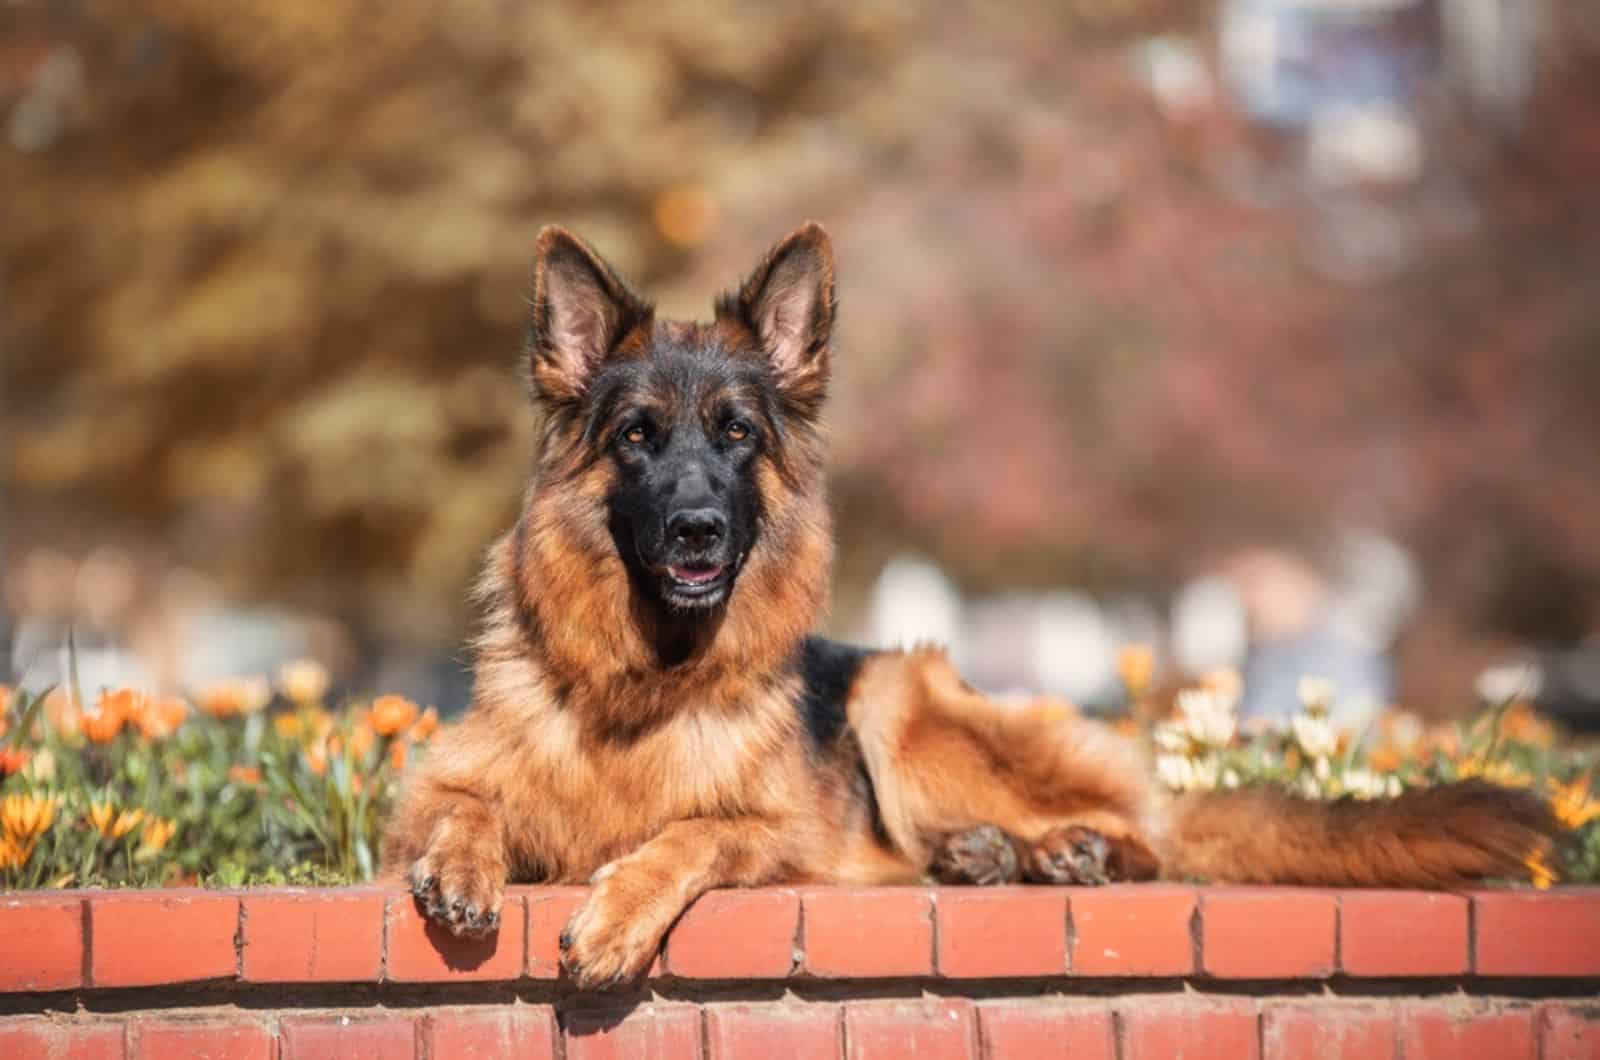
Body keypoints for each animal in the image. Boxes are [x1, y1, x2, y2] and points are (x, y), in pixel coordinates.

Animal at [380, 225, 1555, 999]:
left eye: (736, 436)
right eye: (636, 436)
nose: (698, 532)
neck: (645, 681)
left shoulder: (780, 831)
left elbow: (692, 835)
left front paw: (621, 912)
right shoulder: (439, 783)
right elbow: (460, 802)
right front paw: (461, 863)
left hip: (902, 703)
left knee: (1152, 834)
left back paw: (1067, 854)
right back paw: (990, 856)